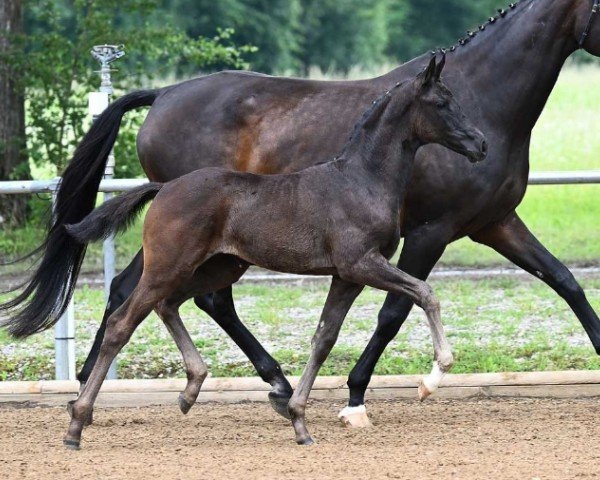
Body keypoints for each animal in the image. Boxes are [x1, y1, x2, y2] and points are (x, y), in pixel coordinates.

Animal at [63, 56, 486, 446]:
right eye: (442, 102)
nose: (480, 143)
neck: (361, 180)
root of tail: (164, 188)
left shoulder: (346, 276)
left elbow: (323, 338)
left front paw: (299, 421)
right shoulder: (362, 263)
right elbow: (426, 293)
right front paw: (435, 374)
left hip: (218, 267)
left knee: (170, 305)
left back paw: (190, 389)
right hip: (169, 266)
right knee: (123, 322)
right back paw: (78, 423)